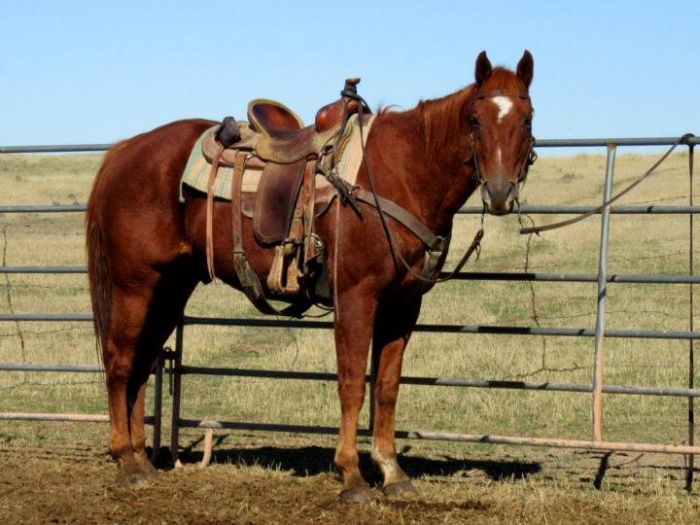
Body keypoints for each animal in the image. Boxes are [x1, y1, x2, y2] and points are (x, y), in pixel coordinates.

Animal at [87, 50, 536, 500]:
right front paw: (352, 476)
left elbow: (387, 386)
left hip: (170, 287)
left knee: (143, 361)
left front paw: (393, 473)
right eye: (475, 120)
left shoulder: (403, 305)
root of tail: (125, 150)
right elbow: (352, 384)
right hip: (134, 285)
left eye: (527, 118)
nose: (500, 192)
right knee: (120, 359)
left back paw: (143, 461)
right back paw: (125, 460)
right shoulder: (356, 297)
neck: (402, 173)